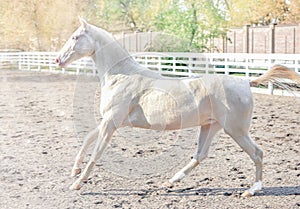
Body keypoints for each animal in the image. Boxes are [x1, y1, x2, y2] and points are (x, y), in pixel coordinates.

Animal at [56, 17, 300, 196]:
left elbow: (97, 152)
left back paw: (252, 190)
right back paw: (170, 182)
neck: (122, 75)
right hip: (211, 126)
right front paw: (74, 170)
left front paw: (77, 183)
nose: (59, 60)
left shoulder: (111, 122)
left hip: (236, 130)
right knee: (200, 155)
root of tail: (245, 81)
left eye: (75, 37)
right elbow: (88, 138)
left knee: (257, 153)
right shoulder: (111, 121)